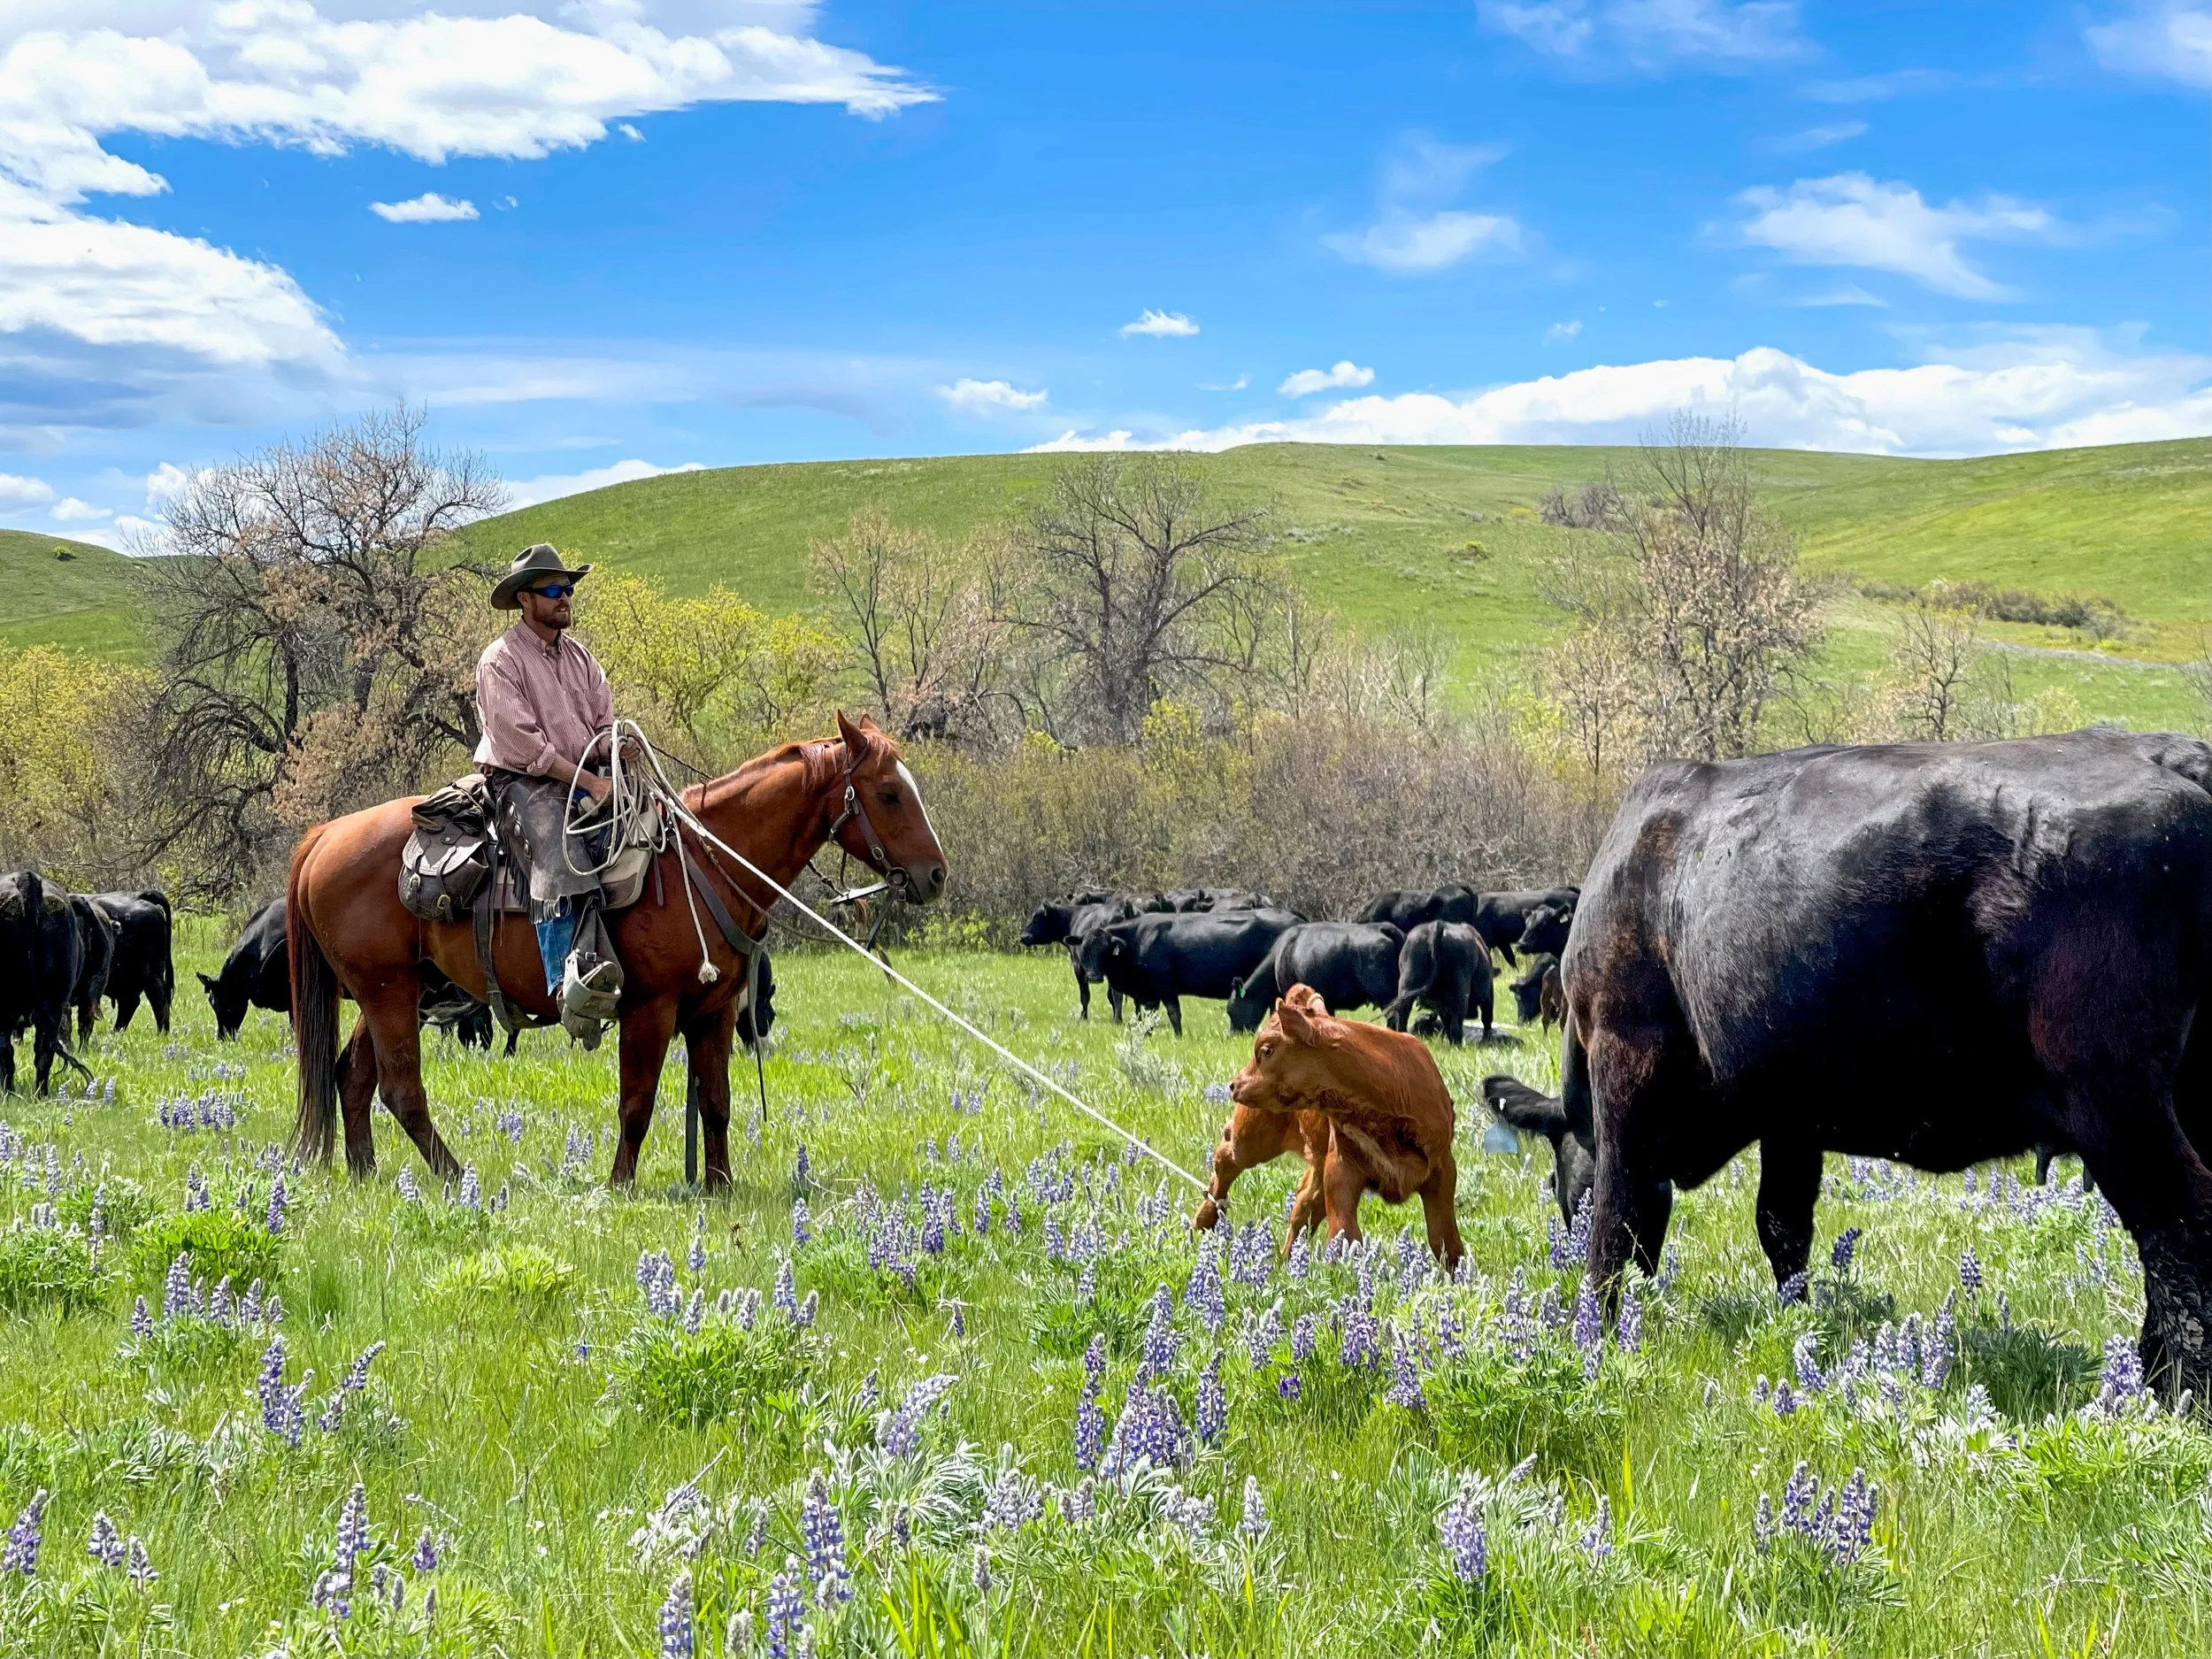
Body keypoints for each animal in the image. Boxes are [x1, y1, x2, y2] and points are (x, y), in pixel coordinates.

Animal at [0, 871, 88, 1094]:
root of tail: (25, 877)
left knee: (6, 1053)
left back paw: (9, 1093)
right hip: (52, 1004)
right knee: (43, 1054)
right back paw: (41, 1094)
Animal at [1076, 908, 1303, 1036]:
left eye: (1104, 950)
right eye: (1084, 950)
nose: (1093, 977)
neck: (1138, 940)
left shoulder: (1165, 986)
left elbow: (1174, 1014)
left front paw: (1178, 1036)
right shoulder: (1149, 993)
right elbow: (1150, 1016)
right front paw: (1147, 1035)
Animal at [1229, 984, 1463, 1265]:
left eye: (1266, 1050)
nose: (1235, 1084)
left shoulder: (1443, 1167)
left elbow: (1445, 1241)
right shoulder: (1340, 1165)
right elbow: (1345, 1233)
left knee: (1303, 1207)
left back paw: (1285, 1261)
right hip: (1253, 1135)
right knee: (1226, 1153)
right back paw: (1205, 1219)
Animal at [1383, 920, 1493, 1044]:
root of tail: (1437, 925)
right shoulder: (1488, 995)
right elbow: (1487, 1018)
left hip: (1406, 986)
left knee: (1402, 1015)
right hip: (1460, 993)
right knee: (1457, 1023)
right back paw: (1457, 1044)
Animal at [1562, 728, 2212, 1400]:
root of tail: (2166, 752)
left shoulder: (1625, 1056)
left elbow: (1617, 1218)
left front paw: (1598, 1339)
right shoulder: (1791, 1114)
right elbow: (1782, 1225)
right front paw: (1798, 1322)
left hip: (2113, 1097)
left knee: (2179, 1224)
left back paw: (2174, 1389)